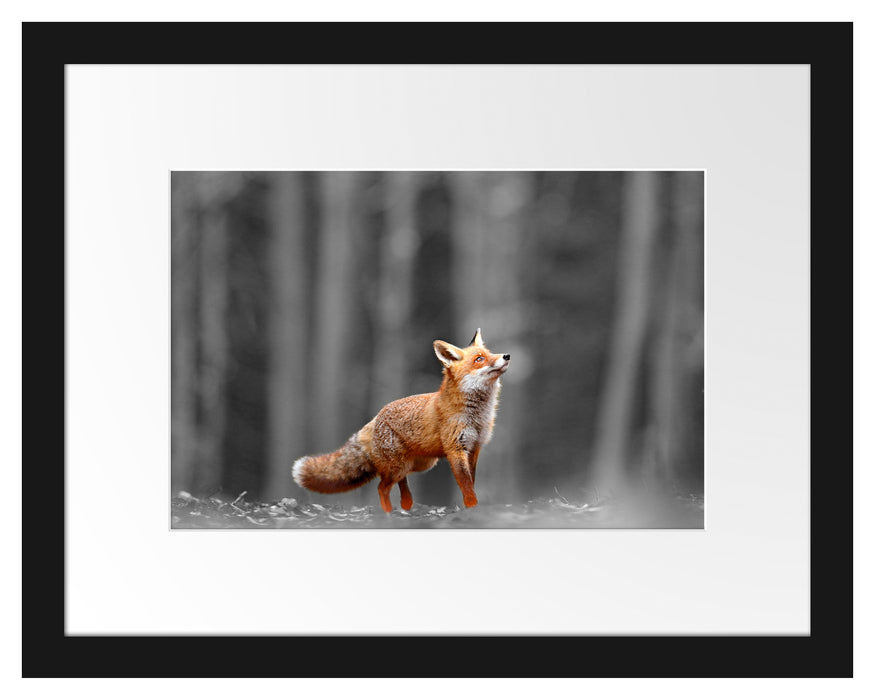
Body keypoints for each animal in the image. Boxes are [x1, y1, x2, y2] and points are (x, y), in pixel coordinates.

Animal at [292, 329, 510, 512]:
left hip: (418, 464)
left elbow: (471, 483)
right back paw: (389, 513)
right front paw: (472, 508)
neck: (477, 416)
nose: (506, 356)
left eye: (490, 353)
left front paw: (471, 507)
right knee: (382, 487)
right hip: (400, 466)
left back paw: (407, 506)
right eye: (479, 359)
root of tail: (376, 417)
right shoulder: (455, 449)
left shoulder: (474, 448)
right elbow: (466, 485)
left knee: (400, 484)